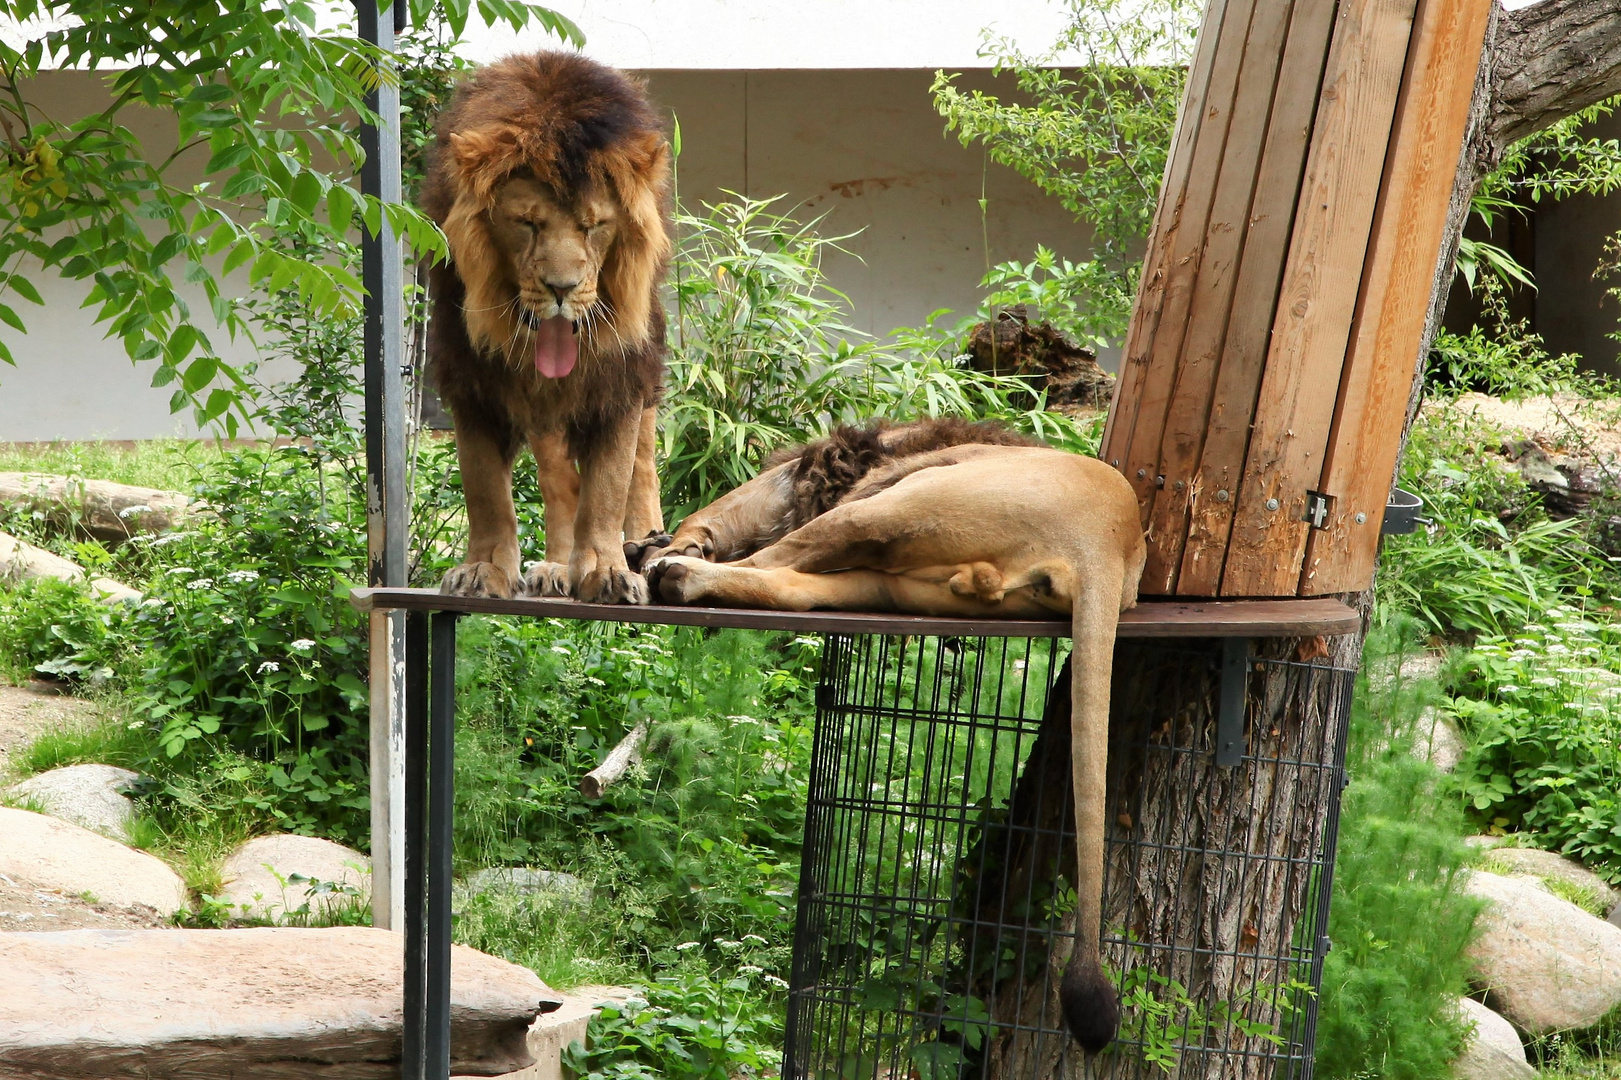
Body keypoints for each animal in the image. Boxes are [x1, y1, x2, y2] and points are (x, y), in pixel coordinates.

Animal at [424, 50, 671, 600]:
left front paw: (607, 570)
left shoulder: (621, 378)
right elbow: (485, 489)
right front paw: (483, 569)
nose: (561, 288)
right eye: (528, 223)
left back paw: (646, 545)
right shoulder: (472, 380)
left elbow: (609, 486)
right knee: (560, 484)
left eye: (594, 225)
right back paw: (559, 566)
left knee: (642, 468)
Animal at [632, 418, 1154, 1050]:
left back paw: (671, 576)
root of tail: (1111, 539)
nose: (645, 541)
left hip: (892, 510)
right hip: (896, 580)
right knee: (790, 586)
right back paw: (679, 578)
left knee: (775, 562)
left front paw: (663, 553)